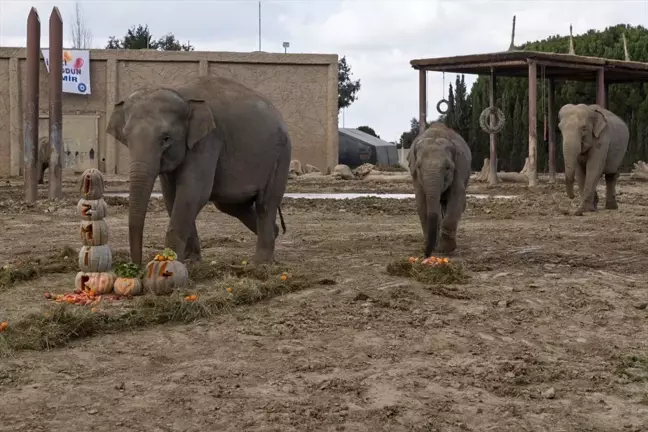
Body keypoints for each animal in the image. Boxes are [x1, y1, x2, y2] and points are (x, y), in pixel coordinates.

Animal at [105, 77, 292, 266]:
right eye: (126, 137)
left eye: (166, 138)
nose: (136, 266)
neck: (180, 94)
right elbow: (171, 197)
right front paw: (190, 260)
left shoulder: (207, 141)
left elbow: (192, 194)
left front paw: (170, 262)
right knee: (231, 205)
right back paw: (275, 233)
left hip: (280, 157)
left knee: (265, 204)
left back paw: (261, 262)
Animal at [404, 121, 470, 256]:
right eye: (418, 167)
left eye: (448, 167)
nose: (426, 254)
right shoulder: (416, 178)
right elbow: (421, 202)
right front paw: (431, 246)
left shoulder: (459, 169)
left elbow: (457, 196)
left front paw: (444, 249)